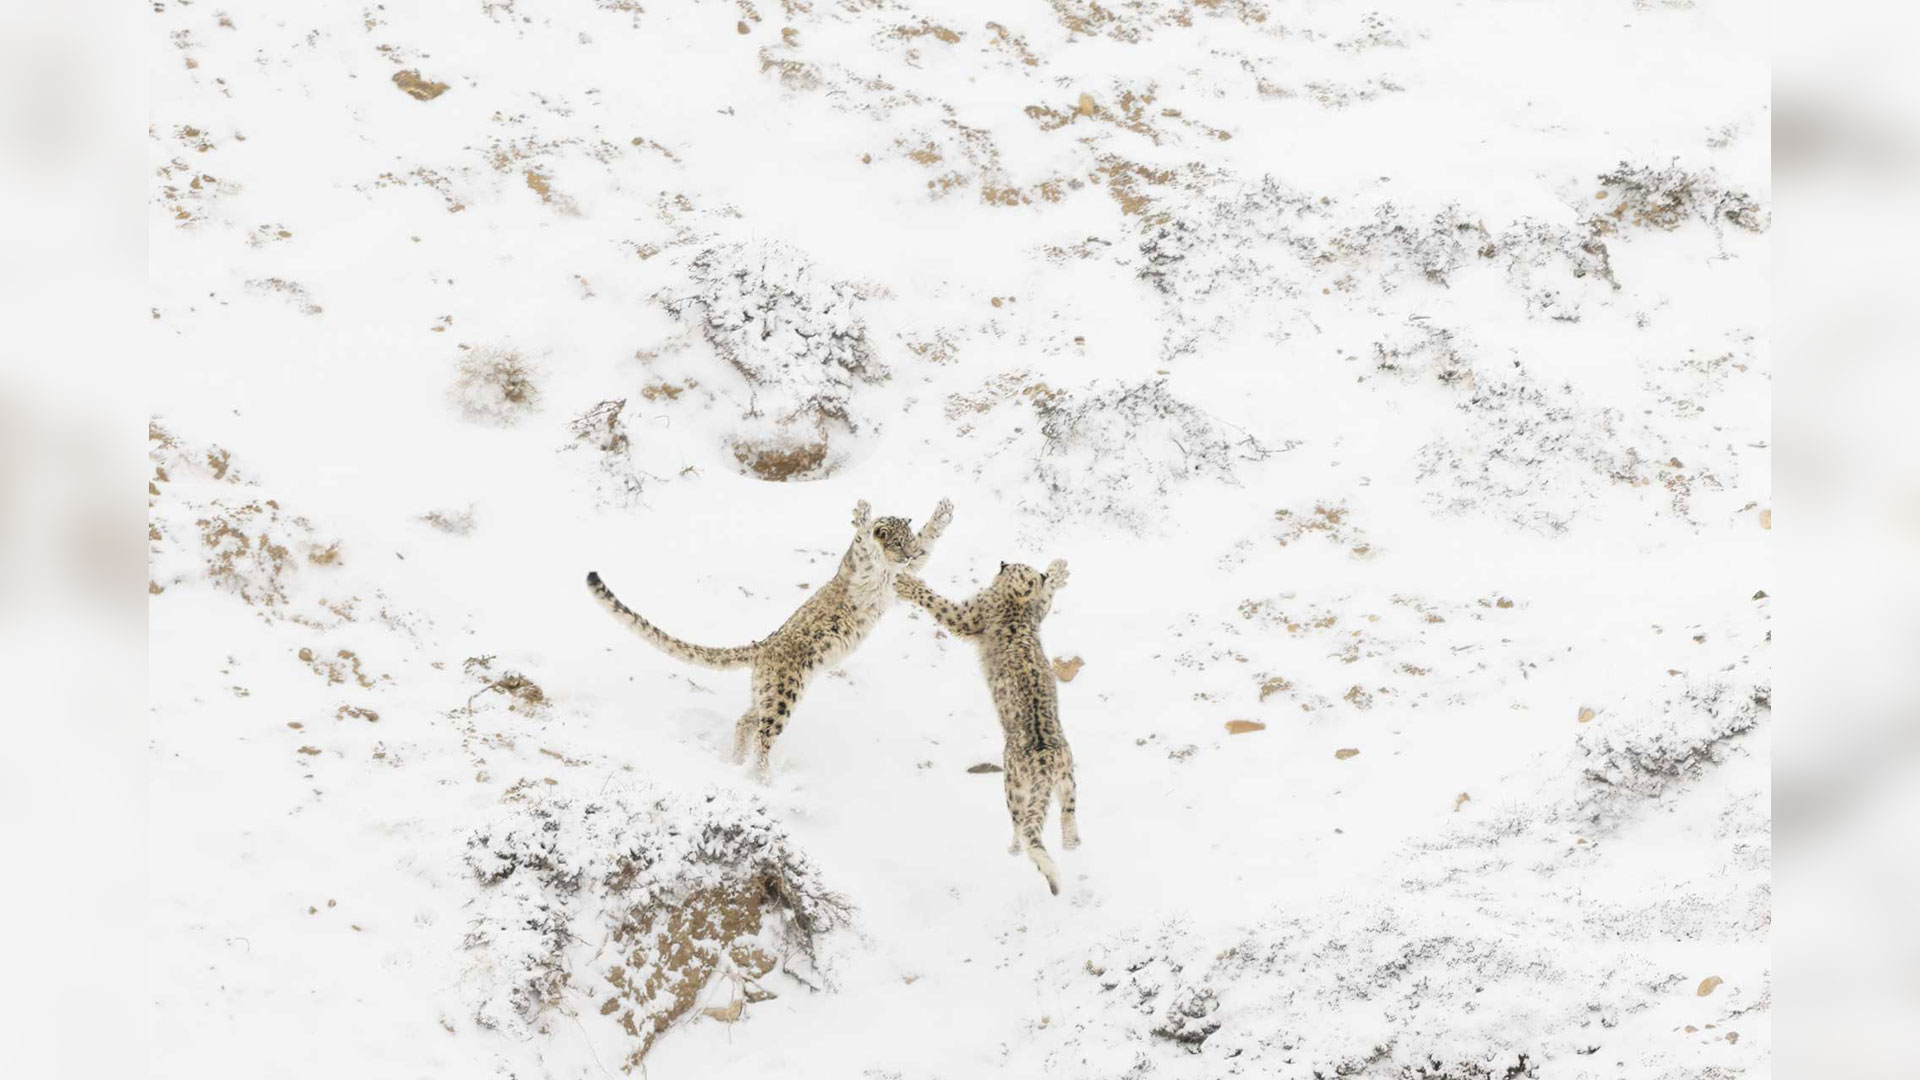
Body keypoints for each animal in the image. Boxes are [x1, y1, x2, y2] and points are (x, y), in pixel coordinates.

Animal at [579, 491, 948, 776]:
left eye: (908, 541)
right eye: (897, 541)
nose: (907, 553)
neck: (888, 574)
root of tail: (764, 646)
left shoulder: (904, 573)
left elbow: (927, 546)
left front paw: (943, 513)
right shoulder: (864, 568)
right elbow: (862, 544)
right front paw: (864, 514)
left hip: (768, 692)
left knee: (746, 721)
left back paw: (737, 762)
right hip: (783, 695)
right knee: (763, 735)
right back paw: (761, 777)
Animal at [894, 553, 1082, 891]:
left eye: (1015, 565)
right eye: (1025, 565)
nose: (1003, 561)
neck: (1015, 605)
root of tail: (1046, 761)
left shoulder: (968, 615)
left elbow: (938, 603)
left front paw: (907, 583)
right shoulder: (1038, 612)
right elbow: (1046, 599)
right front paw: (1058, 570)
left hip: (1013, 784)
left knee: (1021, 823)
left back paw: (1014, 848)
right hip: (1069, 778)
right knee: (1068, 813)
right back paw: (1072, 842)